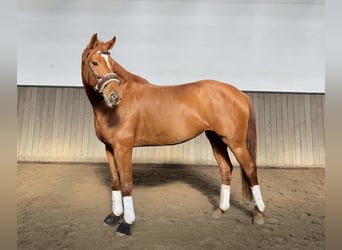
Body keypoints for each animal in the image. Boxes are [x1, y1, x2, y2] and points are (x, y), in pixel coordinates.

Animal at [81, 33, 266, 236]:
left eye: (112, 63)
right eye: (94, 62)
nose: (115, 96)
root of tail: (240, 94)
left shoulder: (124, 148)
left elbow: (126, 184)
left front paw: (126, 224)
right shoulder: (109, 148)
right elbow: (115, 182)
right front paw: (113, 216)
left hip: (236, 142)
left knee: (250, 168)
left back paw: (258, 214)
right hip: (216, 139)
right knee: (226, 168)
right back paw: (220, 210)